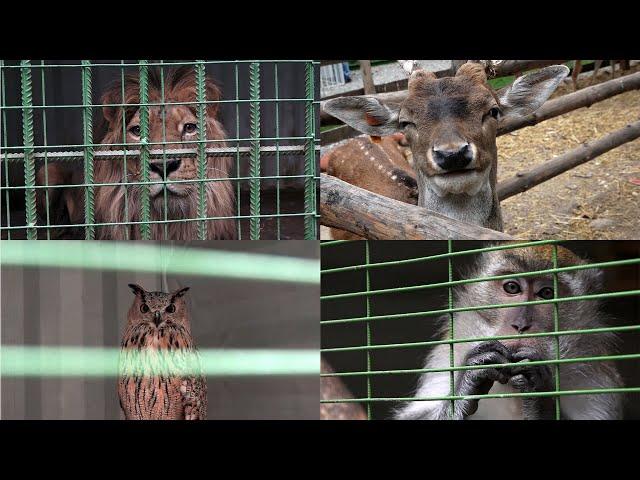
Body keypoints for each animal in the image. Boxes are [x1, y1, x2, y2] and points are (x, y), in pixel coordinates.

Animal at [392, 246, 624, 418]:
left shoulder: (595, 377)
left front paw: (539, 392)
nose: (520, 325)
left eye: (547, 293)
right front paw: (467, 383)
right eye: (512, 288)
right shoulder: (449, 355)